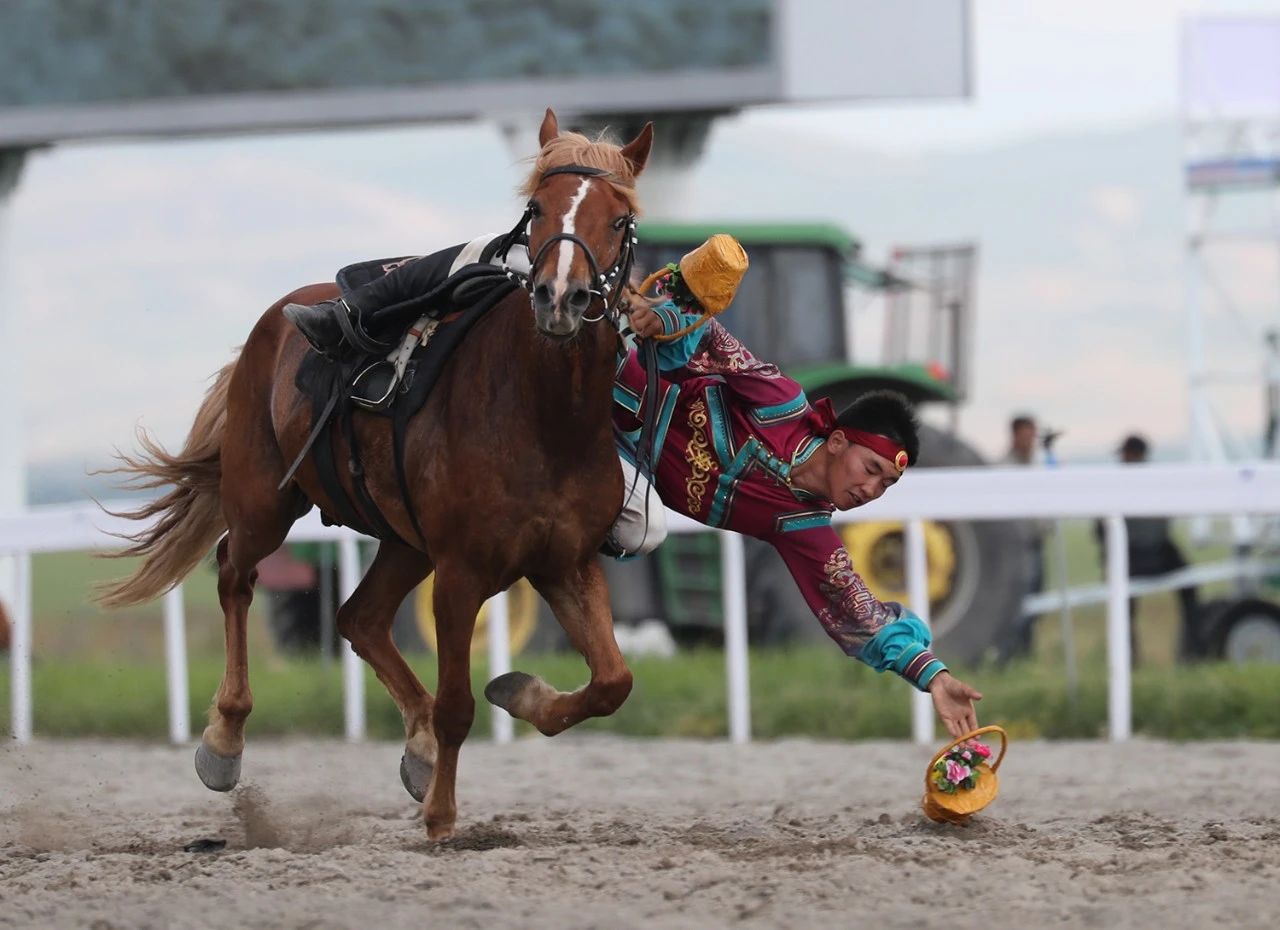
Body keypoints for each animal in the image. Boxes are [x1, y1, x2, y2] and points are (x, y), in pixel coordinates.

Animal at [101, 110, 655, 844]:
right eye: (537, 208)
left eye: (618, 220)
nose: (559, 297)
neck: (543, 416)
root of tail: (279, 317)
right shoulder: (460, 573)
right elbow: (457, 706)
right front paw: (441, 818)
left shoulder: (565, 562)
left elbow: (613, 682)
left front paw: (519, 695)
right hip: (263, 502)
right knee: (233, 576)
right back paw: (224, 741)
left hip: (403, 541)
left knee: (358, 617)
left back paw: (416, 749)